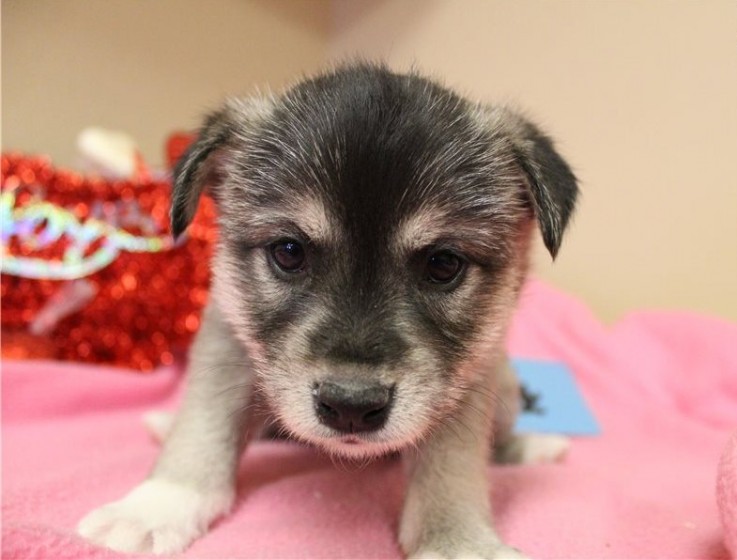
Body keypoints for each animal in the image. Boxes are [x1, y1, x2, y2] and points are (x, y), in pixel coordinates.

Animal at [77, 63, 576, 556]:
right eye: (289, 252)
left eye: (443, 264)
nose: (350, 407)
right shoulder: (227, 342)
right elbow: (204, 426)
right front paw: (157, 506)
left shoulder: (466, 378)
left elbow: (451, 467)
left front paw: (458, 543)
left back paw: (528, 448)